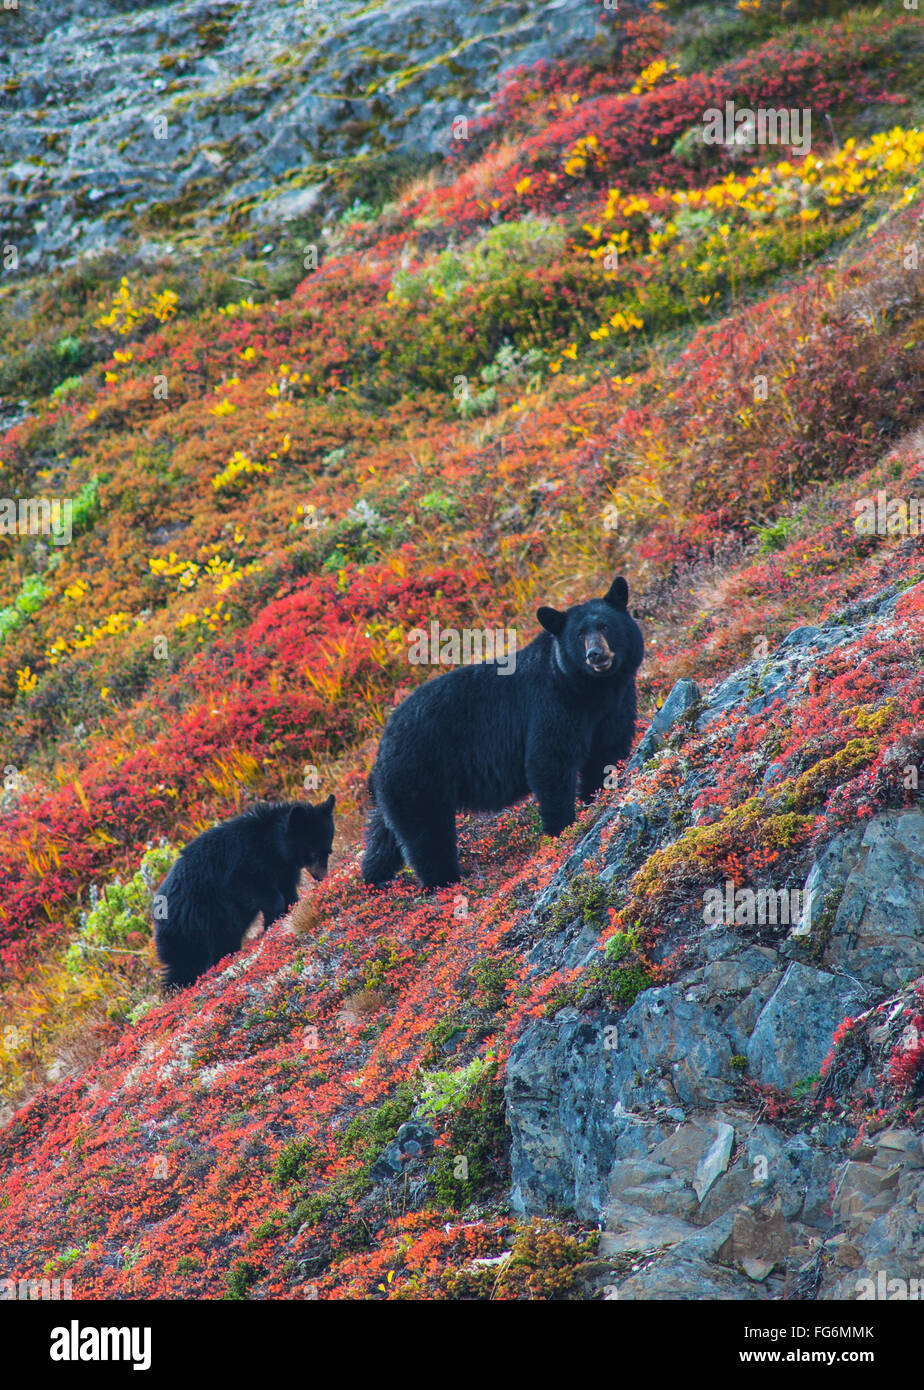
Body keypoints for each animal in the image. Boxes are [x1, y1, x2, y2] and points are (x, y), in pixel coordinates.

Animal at [151, 795, 334, 989]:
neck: (273, 846)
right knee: (186, 963)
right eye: (313, 852)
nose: (322, 877)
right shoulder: (243, 867)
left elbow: (289, 892)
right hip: (192, 926)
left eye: (328, 851)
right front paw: (272, 919)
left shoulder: (284, 870)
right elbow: (259, 892)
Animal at [361, 575, 641, 889]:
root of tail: (381, 747)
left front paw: (597, 797)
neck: (591, 690)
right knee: (427, 833)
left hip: (397, 787)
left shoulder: (615, 706)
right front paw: (562, 829)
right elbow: (549, 762)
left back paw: (373, 877)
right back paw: (445, 880)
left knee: (385, 834)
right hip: (420, 775)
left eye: (605, 625)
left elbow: (606, 753)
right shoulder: (552, 706)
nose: (596, 655)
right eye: (579, 634)